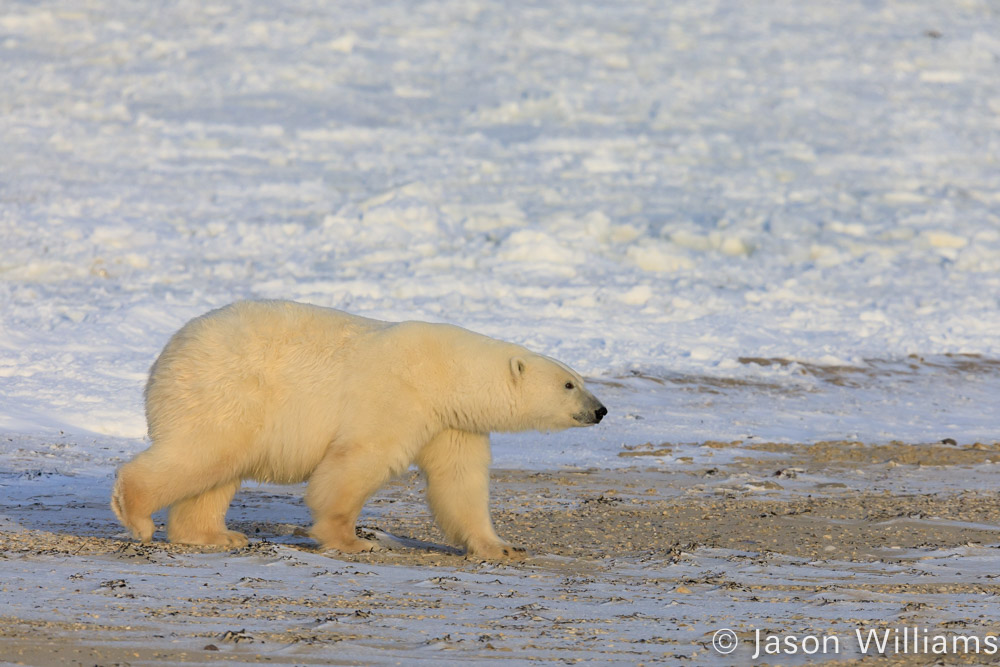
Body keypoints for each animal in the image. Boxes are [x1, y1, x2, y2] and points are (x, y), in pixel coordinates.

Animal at [113, 302, 604, 560]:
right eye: (569, 384)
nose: (600, 410)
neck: (447, 372)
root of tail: (168, 355)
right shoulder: (397, 395)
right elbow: (360, 460)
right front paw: (349, 539)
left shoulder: (451, 423)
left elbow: (461, 482)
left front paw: (499, 546)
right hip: (228, 390)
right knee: (205, 451)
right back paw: (137, 515)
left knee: (217, 470)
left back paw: (215, 535)